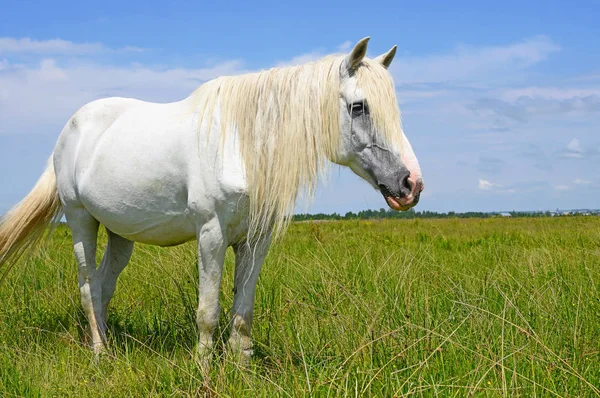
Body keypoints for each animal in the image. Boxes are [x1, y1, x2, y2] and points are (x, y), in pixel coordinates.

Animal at [0, 36, 424, 366]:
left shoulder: (255, 241)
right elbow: (208, 311)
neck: (241, 145)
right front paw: (203, 371)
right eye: (359, 106)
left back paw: (110, 348)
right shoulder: (211, 234)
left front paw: (241, 369)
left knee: (105, 286)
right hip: (80, 220)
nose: (411, 184)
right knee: (89, 287)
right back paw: (100, 355)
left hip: (121, 233)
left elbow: (242, 311)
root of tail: (71, 129)